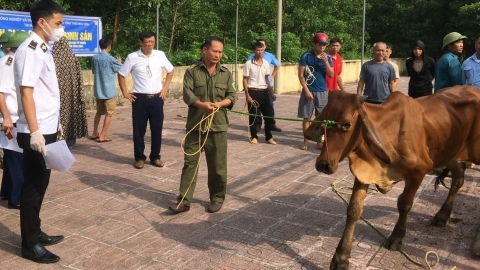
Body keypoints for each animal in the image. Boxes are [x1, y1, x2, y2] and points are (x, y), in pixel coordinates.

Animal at [304, 86, 480, 270]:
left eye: (346, 125)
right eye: (323, 120)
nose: (323, 164)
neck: (389, 131)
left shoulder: (418, 172)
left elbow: (404, 204)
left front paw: (396, 238)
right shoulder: (364, 174)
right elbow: (353, 210)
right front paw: (341, 258)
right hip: (450, 154)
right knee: (458, 178)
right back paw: (442, 215)